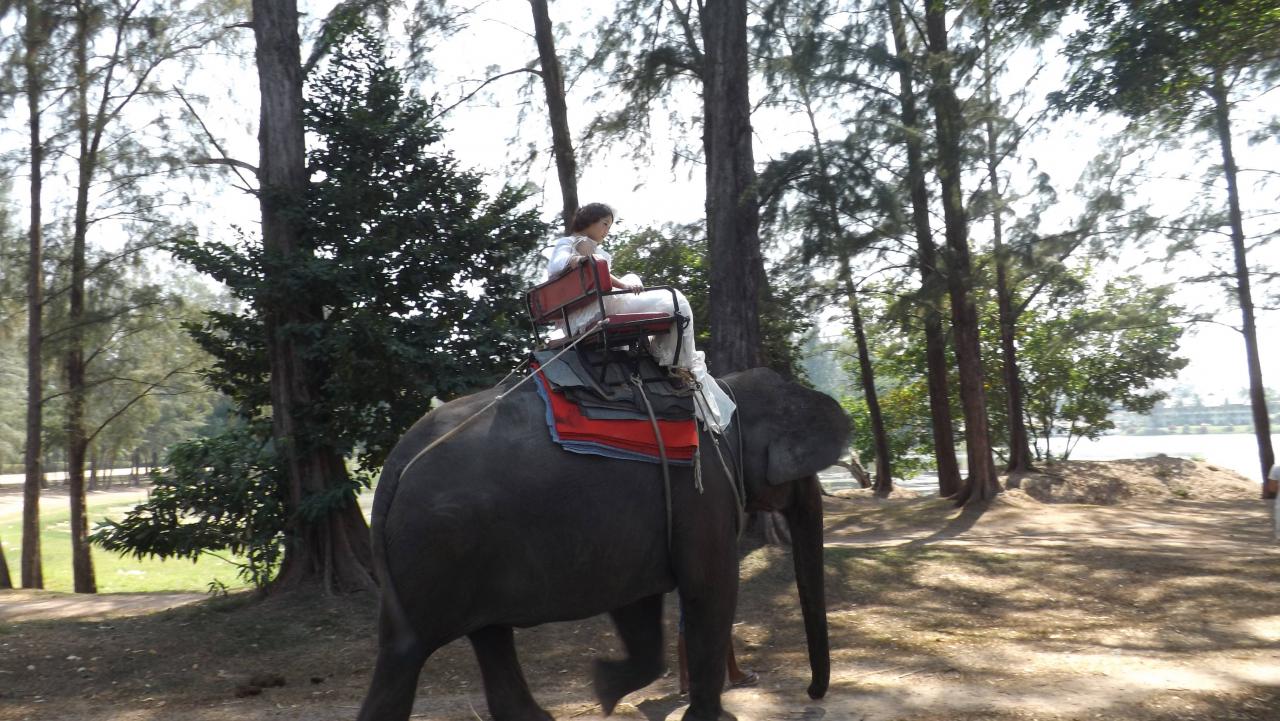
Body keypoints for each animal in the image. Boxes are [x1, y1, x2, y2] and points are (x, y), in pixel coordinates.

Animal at [355, 366, 851, 721]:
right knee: (408, 653)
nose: (813, 693)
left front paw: (605, 688)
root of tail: (396, 465)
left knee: (486, 637)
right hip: (439, 547)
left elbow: (640, 606)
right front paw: (708, 717)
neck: (724, 393)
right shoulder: (703, 491)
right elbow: (710, 590)